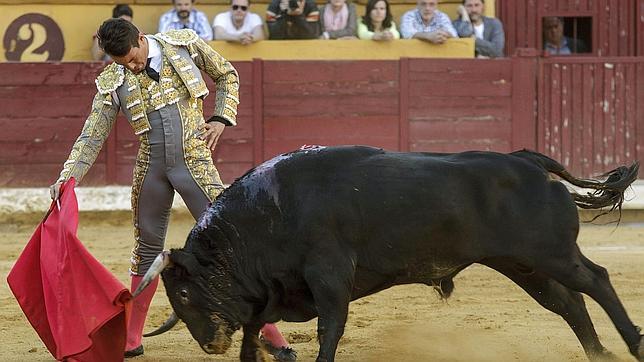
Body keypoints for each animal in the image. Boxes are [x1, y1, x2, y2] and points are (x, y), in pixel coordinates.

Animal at [135, 146, 644, 360]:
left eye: (183, 293)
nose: (208, 344)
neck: (269, 211)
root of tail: (527, 161)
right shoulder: (273, 293)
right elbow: (252, 336)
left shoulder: (329, 277)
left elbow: (329, 330)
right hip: (523, 264)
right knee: (569, 302)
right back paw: (600, 354)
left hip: (550, 253)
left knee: (596, 281)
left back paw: (632, 343)